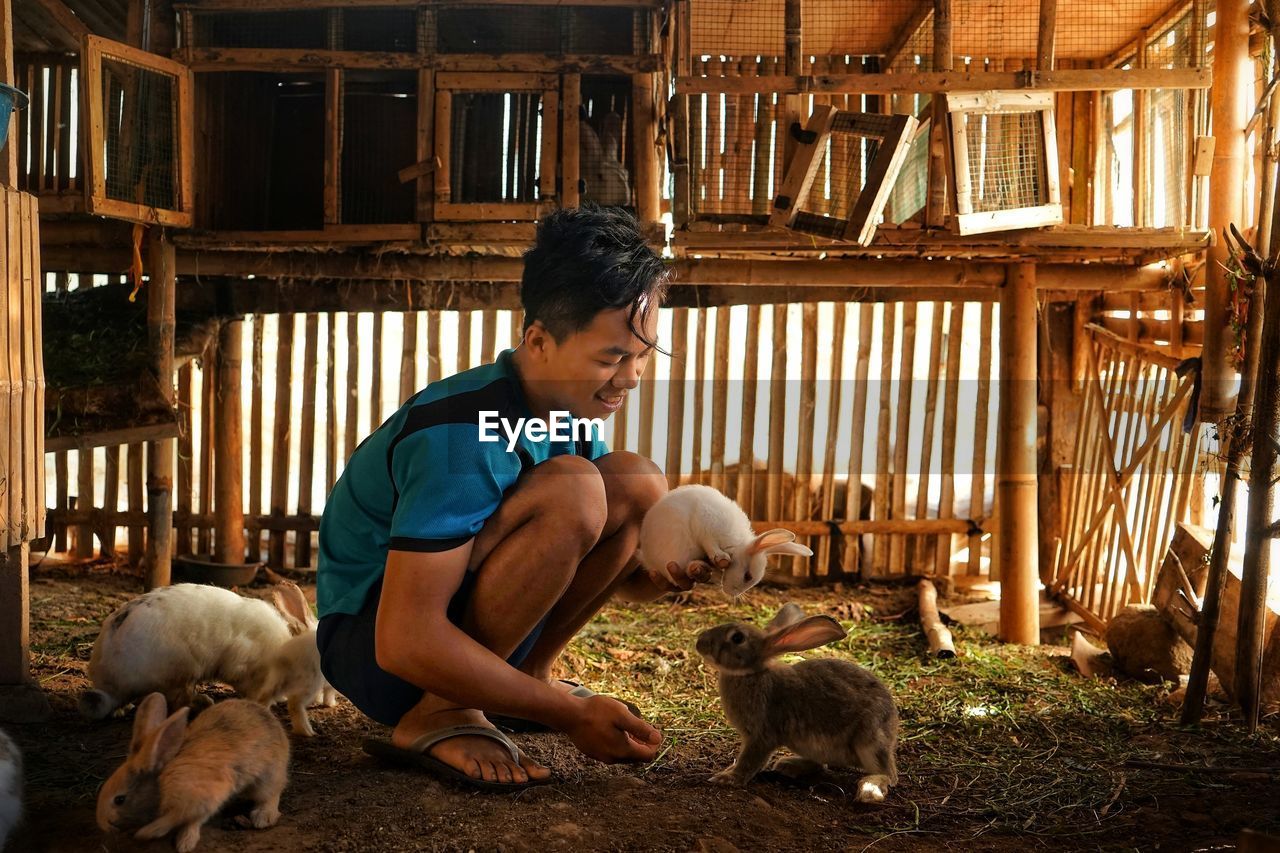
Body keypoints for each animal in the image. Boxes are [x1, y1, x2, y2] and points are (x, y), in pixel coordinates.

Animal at [97, 691, 293, 850]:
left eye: (119, 800)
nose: (102, 824)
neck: (163, 782)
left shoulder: (202, 799)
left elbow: (183, 820)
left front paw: (161, 836)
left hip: (267, 776)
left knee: (272, 793)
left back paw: (263, 817)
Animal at [696, 601, 896, 799]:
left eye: (737, 638)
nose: (700, 643)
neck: (752, 674)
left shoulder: (761, 735)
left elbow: (750, 761)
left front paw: (726, 778)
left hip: (869, 741)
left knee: (889, 775)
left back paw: (869, 790)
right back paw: (788, 764)